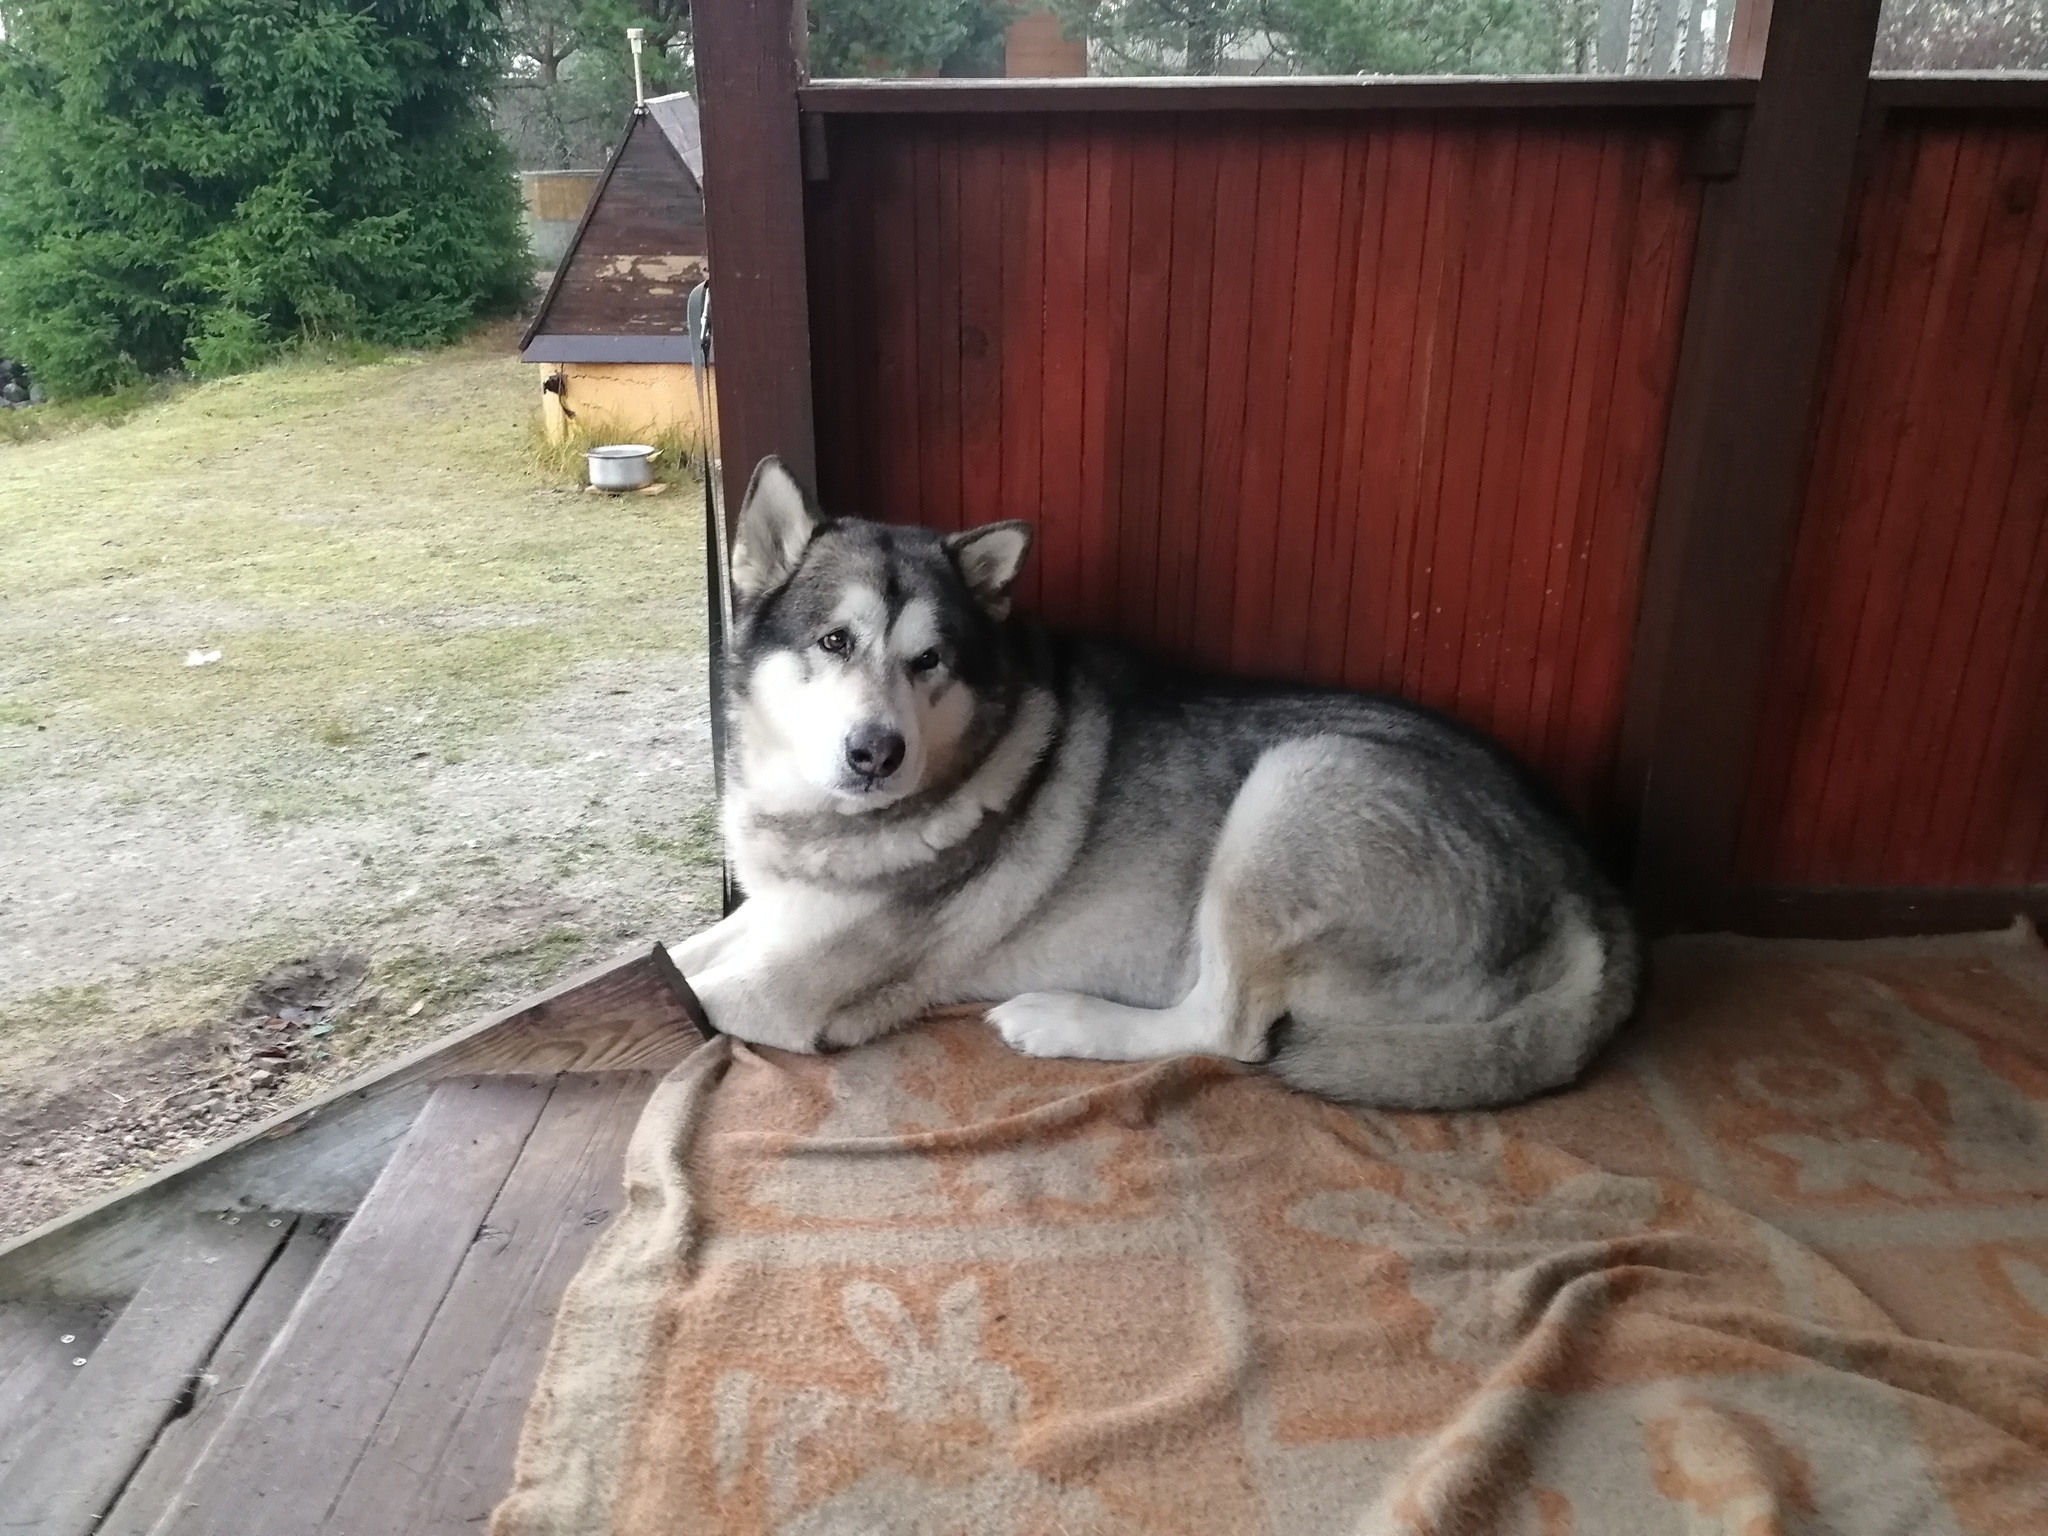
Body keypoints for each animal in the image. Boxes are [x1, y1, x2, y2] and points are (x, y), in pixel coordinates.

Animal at [667, 450, 1630, 1114]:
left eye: (928, 660)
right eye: (834, 641)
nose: (877, 752)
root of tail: (1591, 887)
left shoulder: (784, 990)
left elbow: (687, 993)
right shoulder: (776, 919)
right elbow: (678, 959)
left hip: (1300, 780)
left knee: (1228, 1030)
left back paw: (1065, 1020)